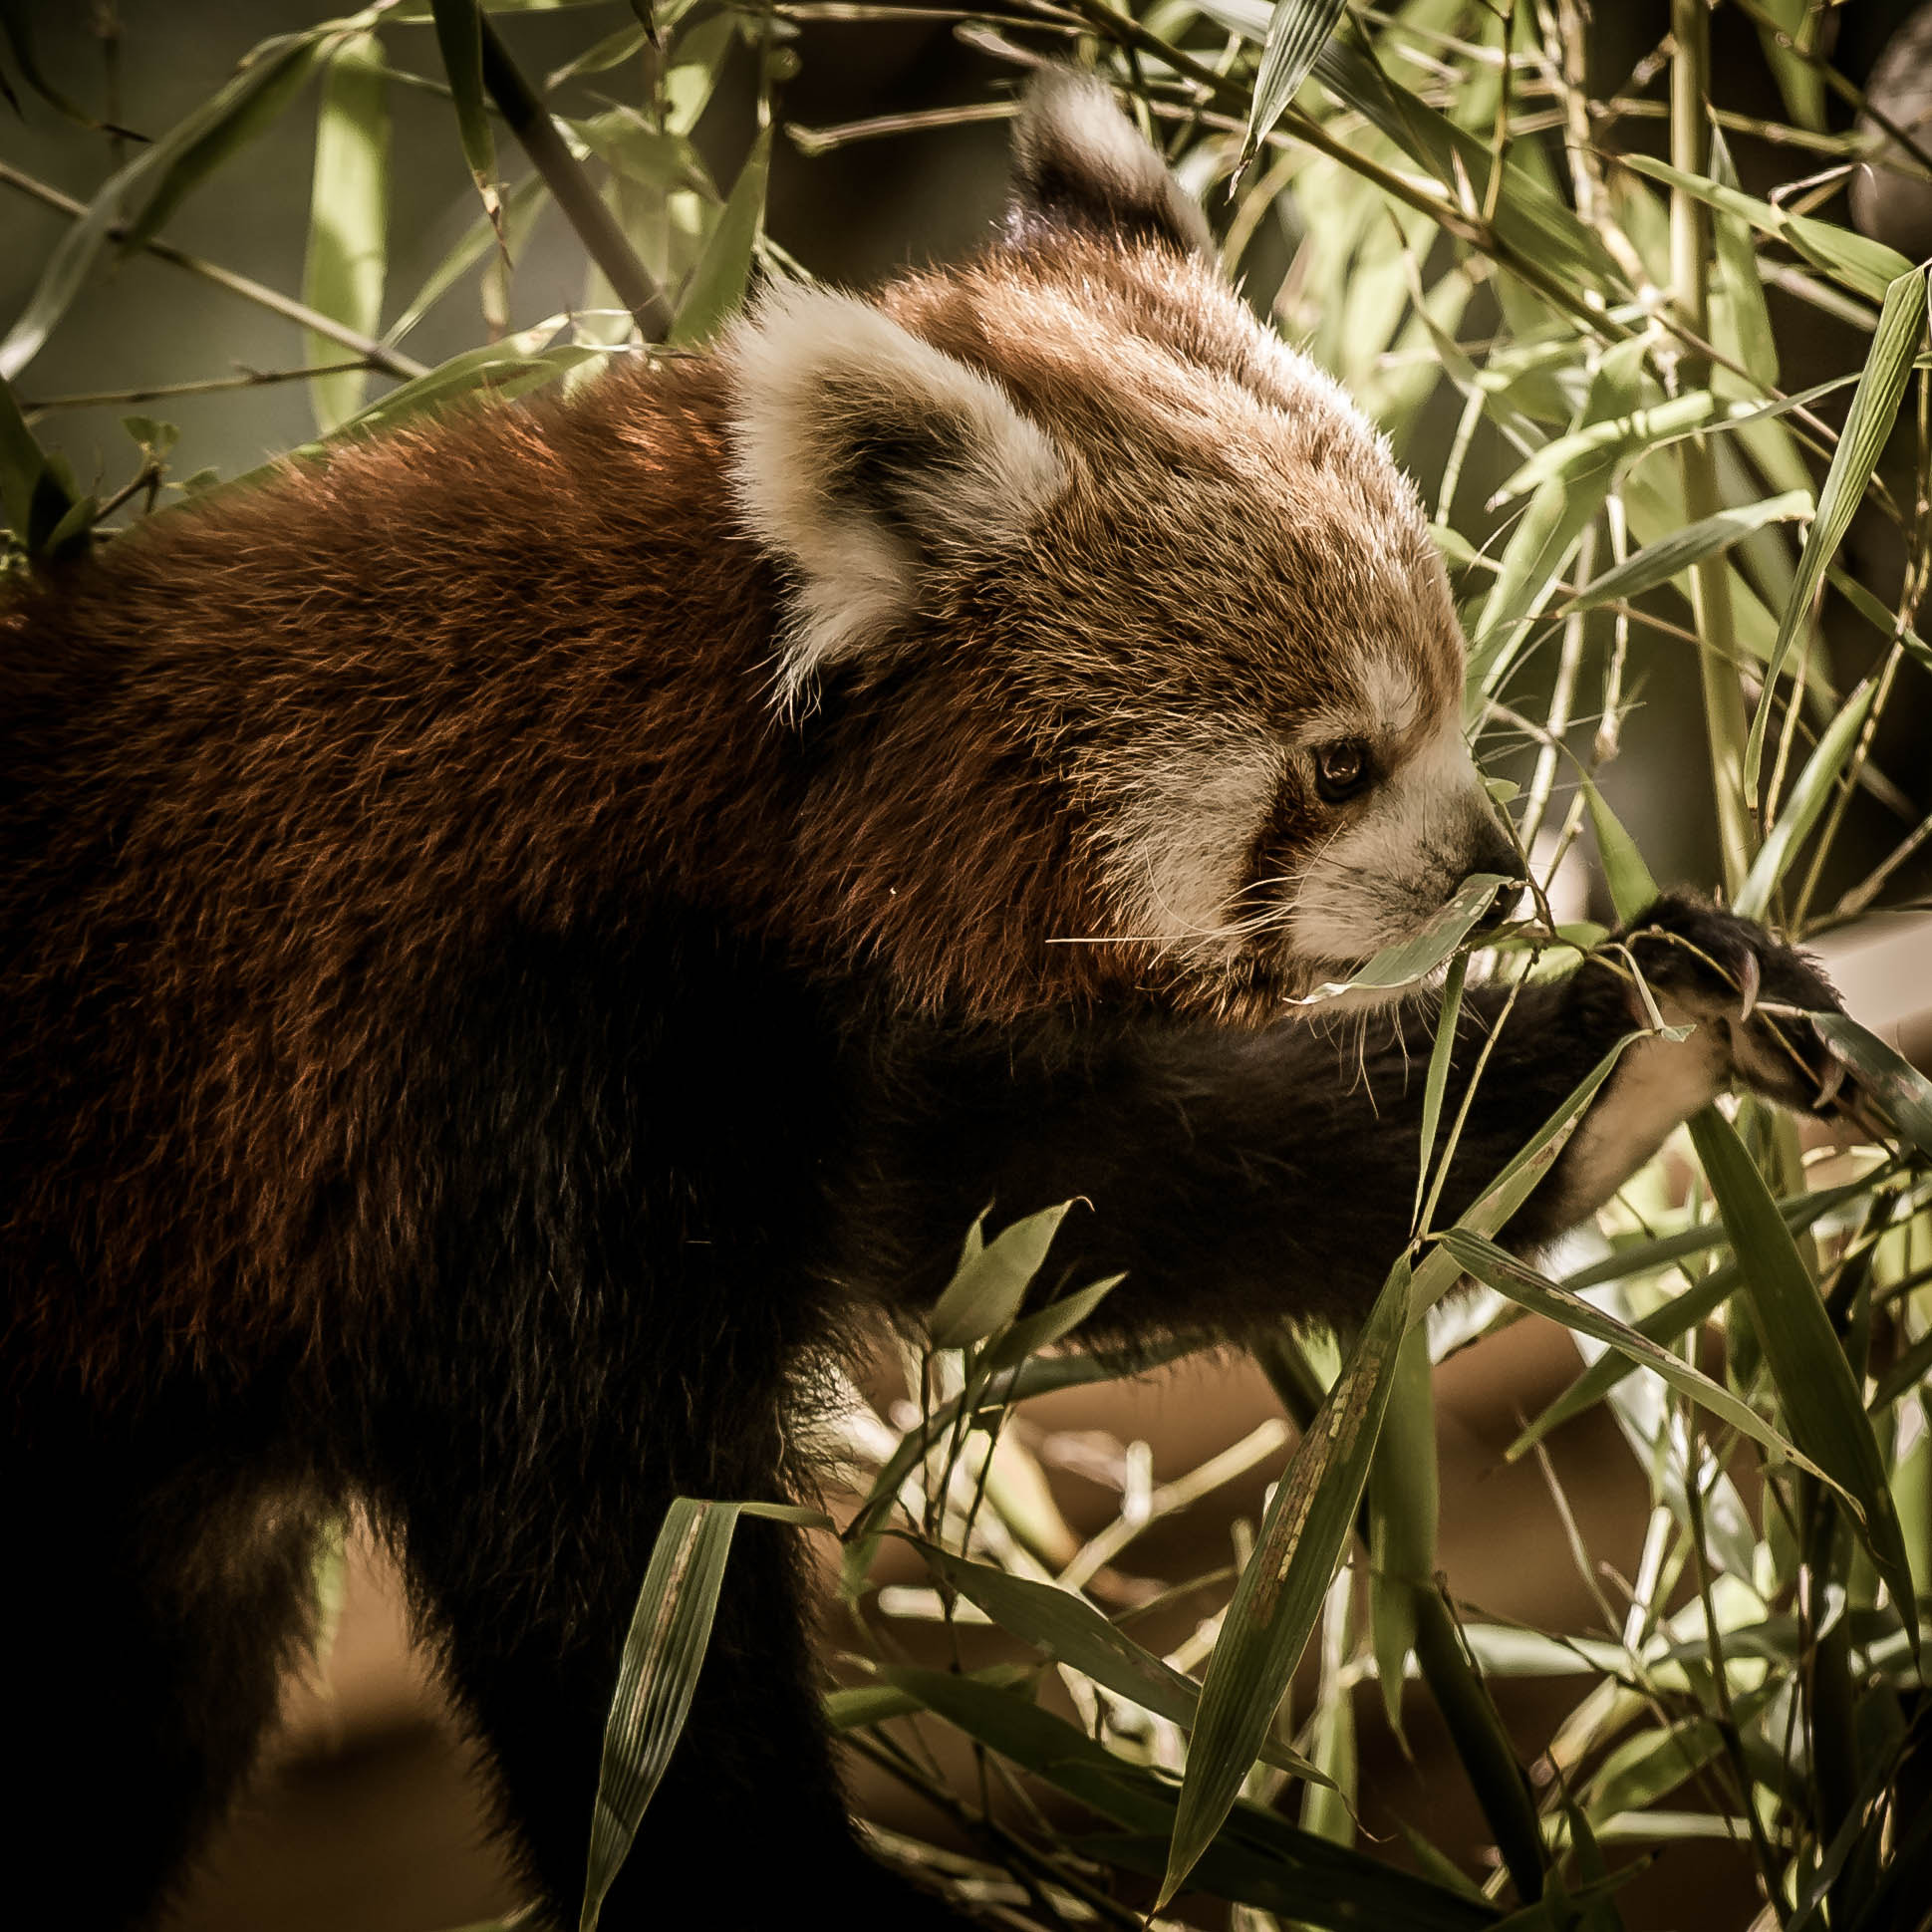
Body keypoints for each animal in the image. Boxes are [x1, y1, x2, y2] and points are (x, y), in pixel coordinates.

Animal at [0, 65, 1857, 1932]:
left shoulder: (838, 1045)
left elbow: (1098, 1195)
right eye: (1337, 762)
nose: (1495, 871)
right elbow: (616, 1605)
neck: (673, 790)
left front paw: (1641, 1026)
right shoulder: (519, 1076)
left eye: (1452, 702)